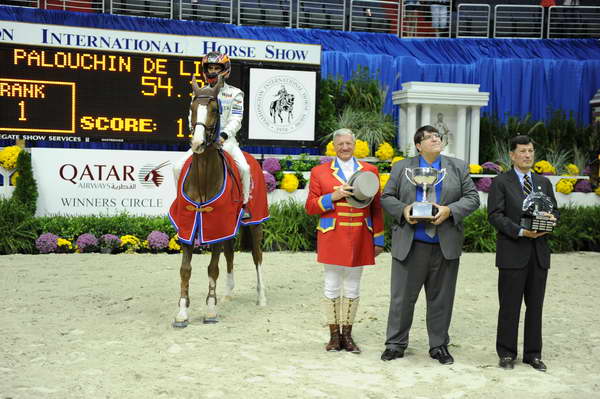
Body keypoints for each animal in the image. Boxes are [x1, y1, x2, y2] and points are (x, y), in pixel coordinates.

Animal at [171, 77, 268, 328]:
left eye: (215, 109)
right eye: (192, 107)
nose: (197, 143)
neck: (204, 178)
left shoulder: (214, 226)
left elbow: (212, 268)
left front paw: (210, 310)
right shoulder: (191, 226)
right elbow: (185, 269)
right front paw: (182, 313)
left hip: (256, 224)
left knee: (257, 257)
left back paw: (261, 298)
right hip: (228, 228)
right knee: (230, 254)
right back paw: (227, 294)